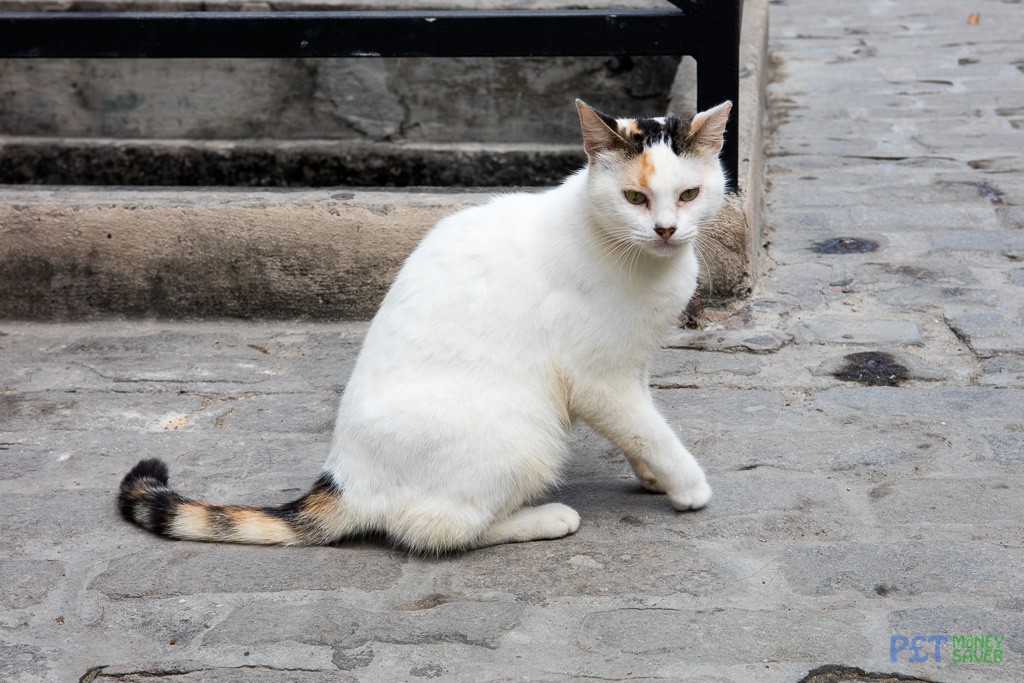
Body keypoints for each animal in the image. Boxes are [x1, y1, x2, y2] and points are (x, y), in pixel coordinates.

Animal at [117, 96, 729, 557]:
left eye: (689, 194)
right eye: (634, 197)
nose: (667, 229)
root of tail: (345, 479)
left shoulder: (631, 363)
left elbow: (642, 423)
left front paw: (651, 475)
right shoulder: (599, 379)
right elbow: (648, 428)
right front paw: (687, 485)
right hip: (525, 435)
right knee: (433, 529)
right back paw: (544, 517)